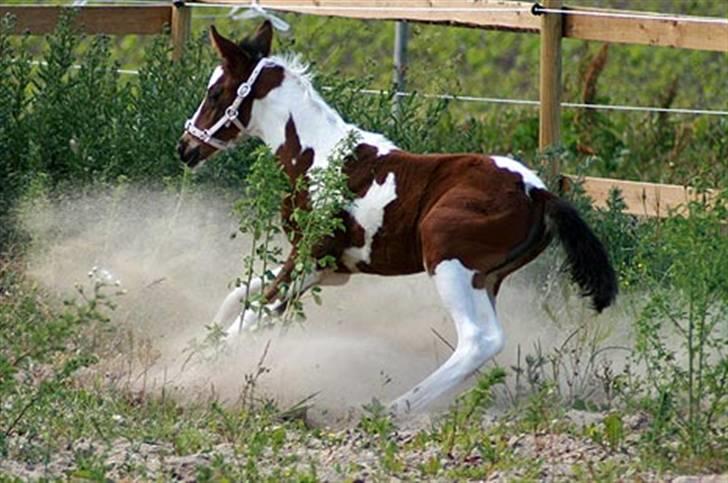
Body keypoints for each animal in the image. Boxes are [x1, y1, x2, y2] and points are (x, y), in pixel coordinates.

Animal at [176, 22, 616, 414]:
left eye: (215, 92)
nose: (185, 148)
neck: (318, 155)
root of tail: (538, 192)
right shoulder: (328, 269)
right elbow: (241, 297)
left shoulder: (309, 258)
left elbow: (252, 315)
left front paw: (186, 371)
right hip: (486, 279)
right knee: (489, 339)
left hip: (447, 259)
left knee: (477, 340)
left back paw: (391, 408)